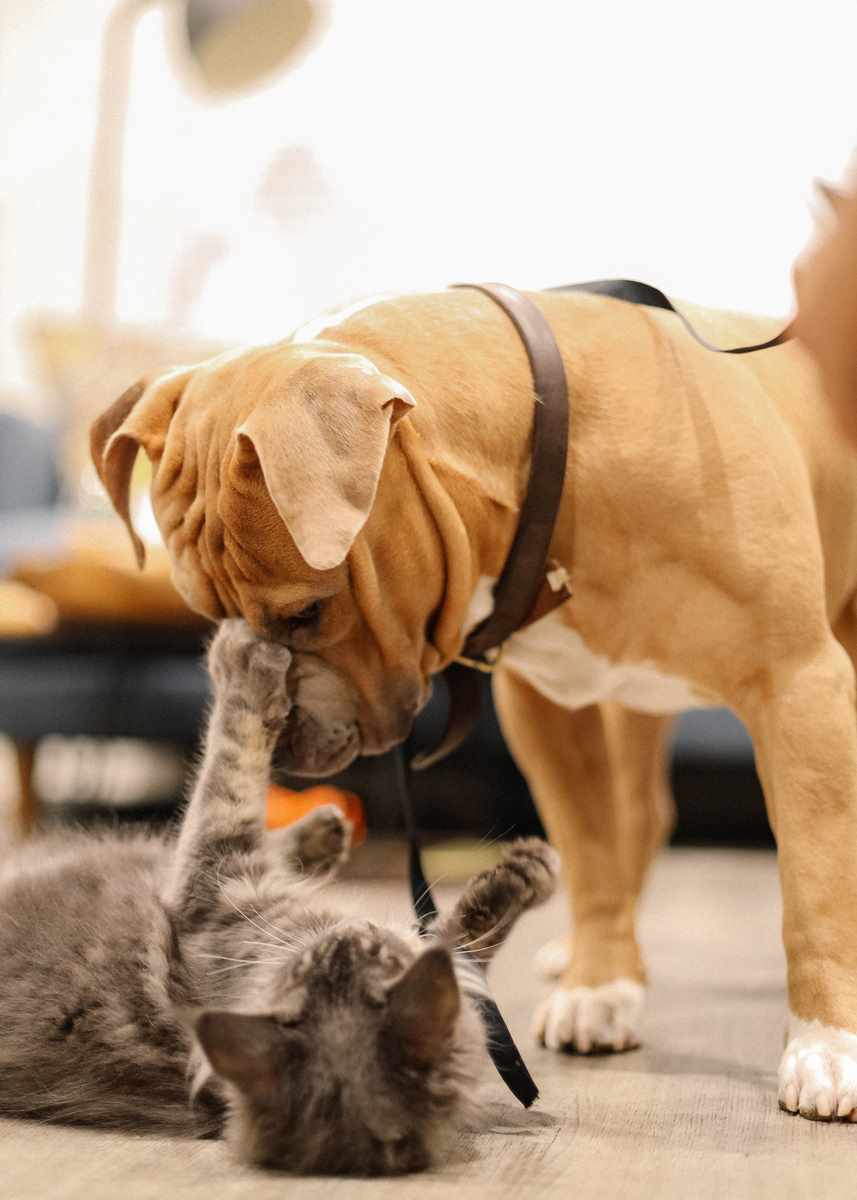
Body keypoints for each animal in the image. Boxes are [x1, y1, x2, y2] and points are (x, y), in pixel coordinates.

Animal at [0, 619, 554, 1171]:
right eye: (309, 965)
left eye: (368, 954)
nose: (353, 931)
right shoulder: (215, 888)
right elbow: (232, 769)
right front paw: (523, 874)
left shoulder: (218, 884)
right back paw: (322, 832)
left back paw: (321, 835)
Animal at [88, 285, 857, 1118]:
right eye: (207, 613)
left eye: (308, 613)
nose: (277, 739)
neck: (546, 459)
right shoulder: (552, 712)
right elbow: (591, 849)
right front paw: (598, 985)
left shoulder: (798, 684)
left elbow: (813, 887)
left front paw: (827, 1043)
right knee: (638, 820)